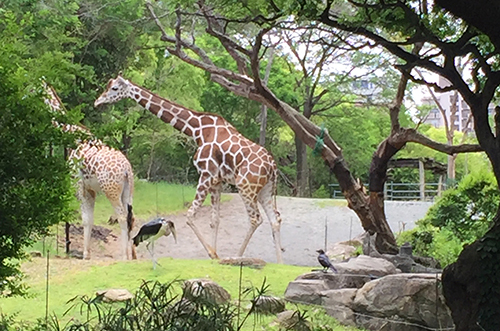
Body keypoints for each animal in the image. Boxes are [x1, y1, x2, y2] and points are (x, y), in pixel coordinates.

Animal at [42, 84, 137, 260]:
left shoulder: (78, 185)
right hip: (128, 192)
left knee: (121, 217)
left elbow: (85, 219)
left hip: (111, 191)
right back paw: (132, 256)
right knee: (131, 217)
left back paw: (124, 257)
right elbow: (90, 219)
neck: (72, 135)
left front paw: (85, 255)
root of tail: (127, 169)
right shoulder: (91, 189)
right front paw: (87, 253)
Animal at [95, 74, 286, 264]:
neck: (197, 130)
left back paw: (237, 257)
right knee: (275, 218)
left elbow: (190, 216)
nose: (98, 101)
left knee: (255, 219)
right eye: (108, 86)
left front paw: (213, 254)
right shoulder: (217, 180)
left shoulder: (206, 174)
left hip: (246, 186)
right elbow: (214, 220)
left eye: (114, 88)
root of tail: (272, 166)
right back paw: (280, 263)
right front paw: (214, 254)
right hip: (265, 190)